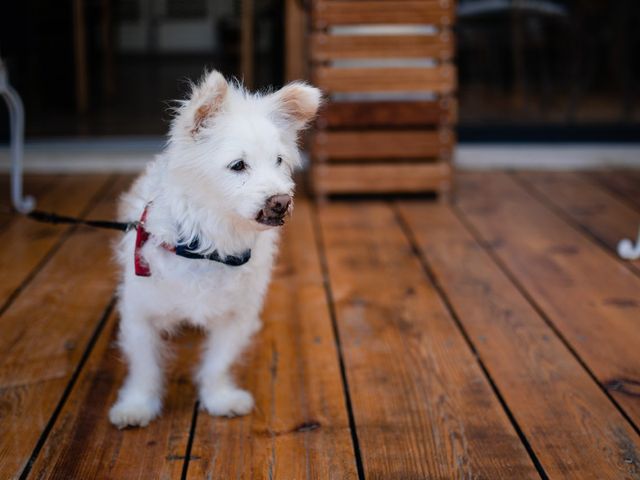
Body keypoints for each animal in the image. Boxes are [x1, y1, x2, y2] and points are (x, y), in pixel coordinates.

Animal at [109, 70, 324, 428]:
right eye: (238, 165)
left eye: (279, 161)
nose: (281, 202)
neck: (210, 245)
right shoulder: (140, 315)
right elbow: (145, 368)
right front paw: (137, 406)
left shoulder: (234, 317)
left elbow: (217, 364)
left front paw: (220, 398)